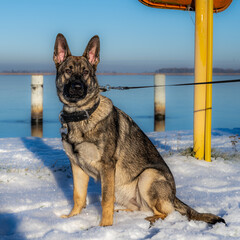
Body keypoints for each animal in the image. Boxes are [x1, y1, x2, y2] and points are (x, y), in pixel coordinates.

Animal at [53, 33, 225, 227]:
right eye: (68, 71)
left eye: (85, 72)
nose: (77, 87)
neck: (81, 115)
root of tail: (174, 196)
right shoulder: (77, 166)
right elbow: (78, 196)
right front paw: (73, 218)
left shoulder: (107, 166)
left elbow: (105, 199)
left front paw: (104, 226)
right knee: (139, 207)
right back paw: (123, 212)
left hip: (147, 176)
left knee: (166, 212)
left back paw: (151, 219)